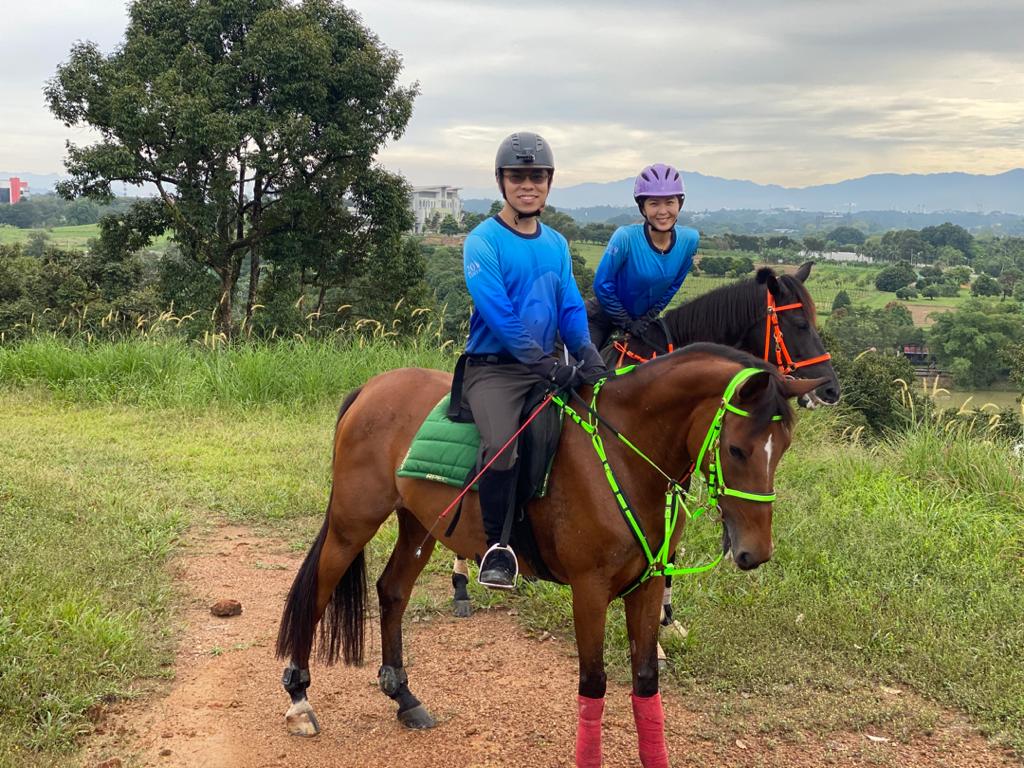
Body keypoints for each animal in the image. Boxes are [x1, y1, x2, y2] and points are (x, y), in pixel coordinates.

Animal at [275, 343, 825, 767]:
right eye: (736, 450)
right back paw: (300, 698)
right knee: (318, 594)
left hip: (419, 525)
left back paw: (404, 697)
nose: (755, 552)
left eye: (784, 447)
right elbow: (594, 684)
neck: (623, 455)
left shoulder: (647, 586)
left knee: (391, 592)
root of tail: (371, 389)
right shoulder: (590, 589)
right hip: (353, 524)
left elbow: (645, 681)